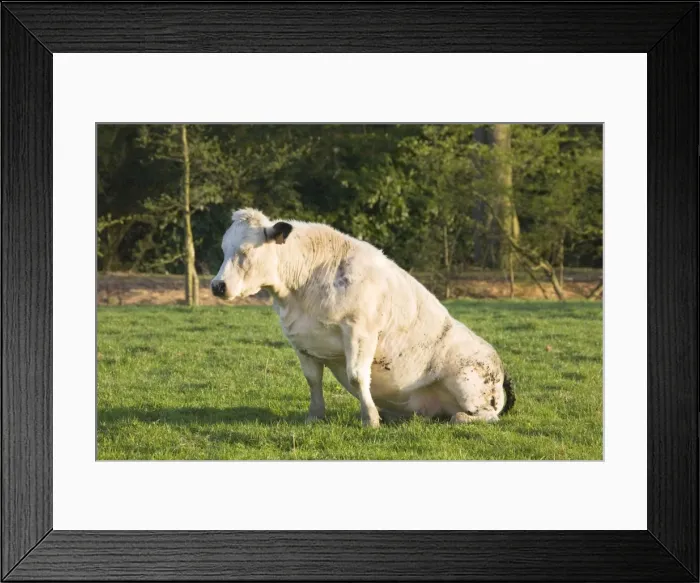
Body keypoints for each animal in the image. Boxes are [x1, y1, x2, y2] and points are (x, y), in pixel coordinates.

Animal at [211, 208, 515, 428]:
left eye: (245, 252)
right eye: (223, 250)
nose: (217, 286)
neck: (304, 290)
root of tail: (500, 369)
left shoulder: (361, 332)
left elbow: (358, 377)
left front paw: (370, 419)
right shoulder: (301, 341)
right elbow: (313, 380)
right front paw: (315, 416)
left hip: (468, 381)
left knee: (484, 415)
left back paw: (459, 417)